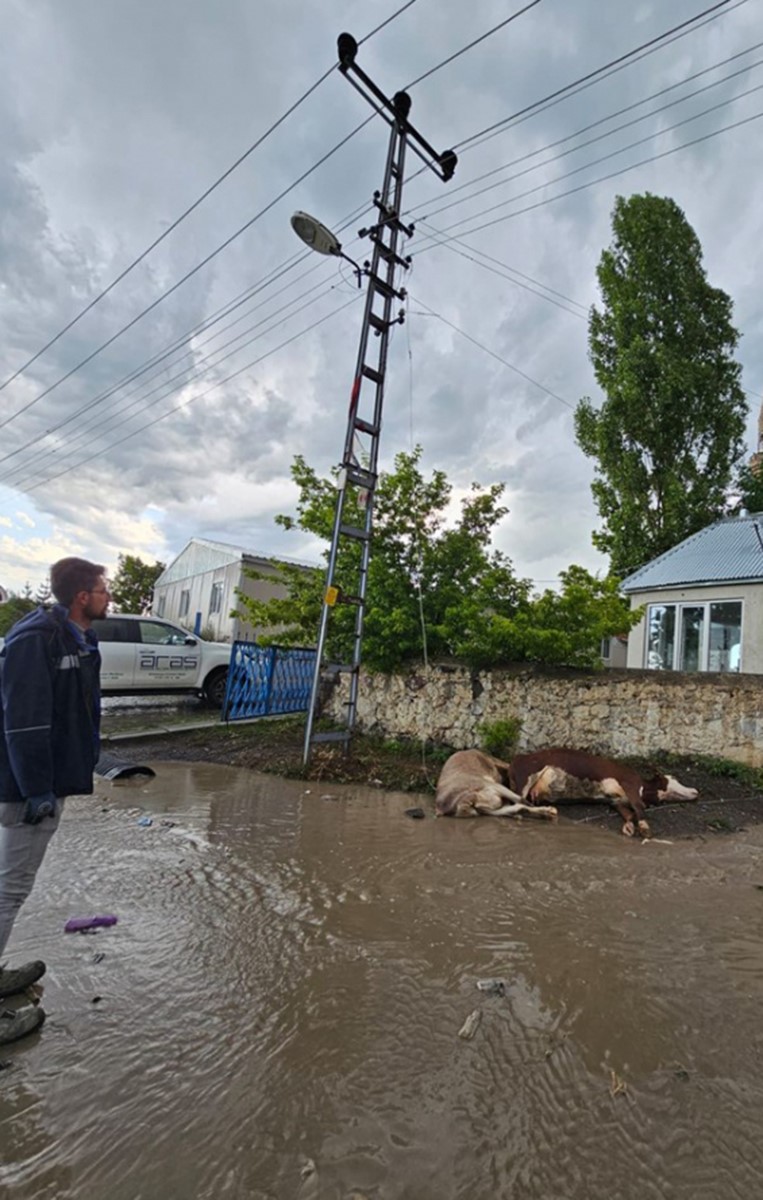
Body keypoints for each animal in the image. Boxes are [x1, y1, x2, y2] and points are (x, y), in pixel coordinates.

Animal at [506, 744, 695, 840]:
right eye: (673, 778)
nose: (695, 790)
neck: (643, 787)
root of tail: (517, 758)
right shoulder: (629, 782)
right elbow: (639, 807)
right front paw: (645, 828)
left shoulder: (615, 801)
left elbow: (629, 813)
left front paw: (629, 827)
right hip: (525, 779)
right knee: (516, 804)